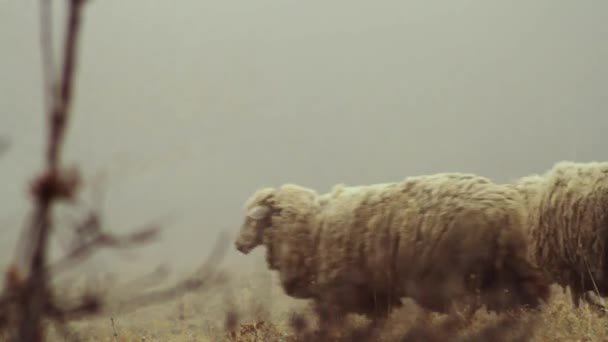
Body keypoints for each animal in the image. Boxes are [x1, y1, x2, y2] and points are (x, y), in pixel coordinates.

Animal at [234, 172, 552, 320]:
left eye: (252, 219)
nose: (238, 245)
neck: (312, 228)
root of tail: (508, 210)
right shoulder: (375, 296)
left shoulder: (340, 295)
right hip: (514, 270)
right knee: (530, 301)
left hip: (463, 278)